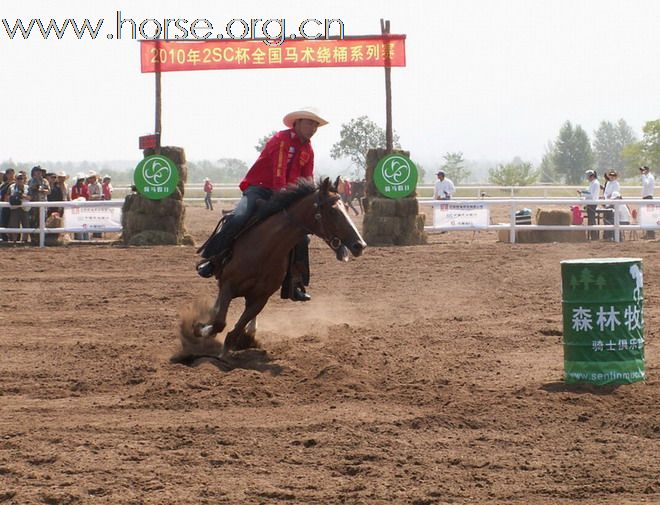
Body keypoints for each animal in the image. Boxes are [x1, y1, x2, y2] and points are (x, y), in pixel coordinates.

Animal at [187, 179, 366, 352]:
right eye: (332, 211)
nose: (360, 245)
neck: (265, 249)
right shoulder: (228, 285)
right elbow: (219, 323)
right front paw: (199, 328)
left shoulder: (260, 299)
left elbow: (232, 334)